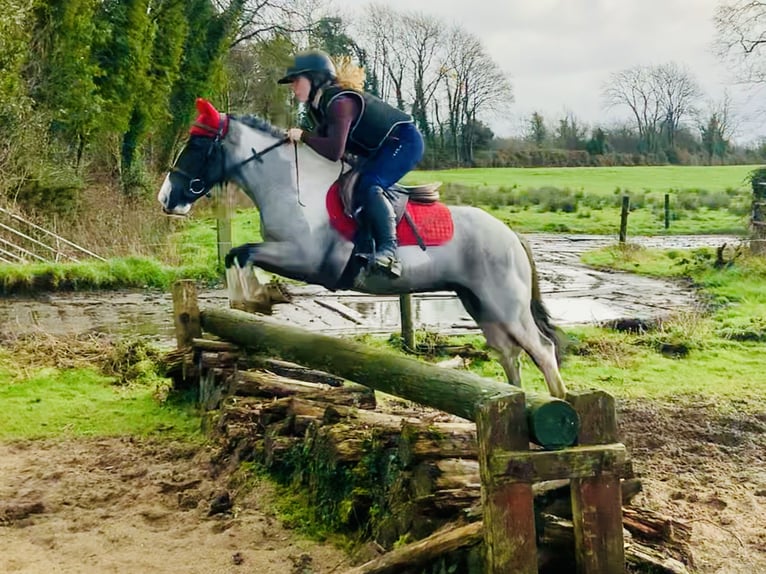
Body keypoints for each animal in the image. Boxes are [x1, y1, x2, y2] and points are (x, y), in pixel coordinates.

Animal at [159, 97, 568, 398]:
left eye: (197, 144)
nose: (166, 198)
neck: (291, 184)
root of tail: (512, 236)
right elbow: (236, 255)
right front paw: (253, 301)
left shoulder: (305, 259)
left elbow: (243, 253)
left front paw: (258, 298)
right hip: (480, 305)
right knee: (510, 355)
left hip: (506, 306)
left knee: (542, 351)